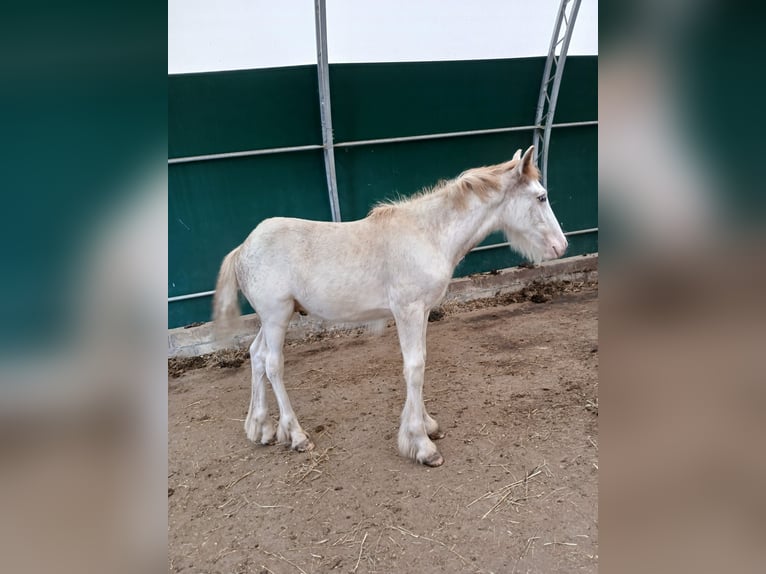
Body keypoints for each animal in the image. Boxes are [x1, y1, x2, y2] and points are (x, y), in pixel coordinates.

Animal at [213, 147, 568, 468]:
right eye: (541, 197)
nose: (561, 246)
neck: (427, 235)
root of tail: (243, 248)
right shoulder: (407, 310)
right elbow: (414, 368)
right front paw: (422, 446)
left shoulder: (422, 311)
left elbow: (420, 362)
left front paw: (428, 426)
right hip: (277, 317)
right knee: (273, 364)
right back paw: (297, 436)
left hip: (273, 319)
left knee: (257, 356)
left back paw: (261, 428)